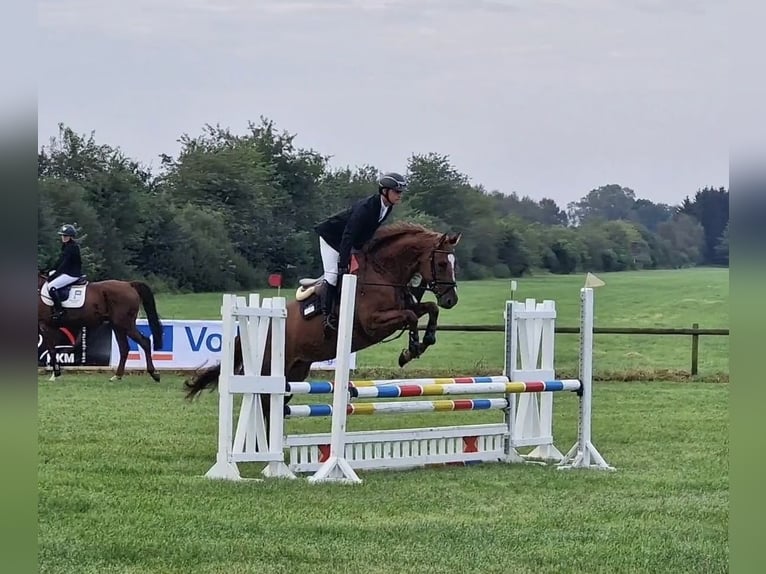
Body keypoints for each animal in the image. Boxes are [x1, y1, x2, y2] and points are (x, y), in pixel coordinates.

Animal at [186, 223, 462, 408]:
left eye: (453, 263)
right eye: (441, 264)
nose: (452, 300)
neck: (384, 274)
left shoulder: (403, 309)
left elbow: (429, 308)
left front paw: (425, 341)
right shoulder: (373, 323)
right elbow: (411, 317)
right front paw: (410, 350)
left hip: (297, 370)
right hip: (269, 368)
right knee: (264, 401)